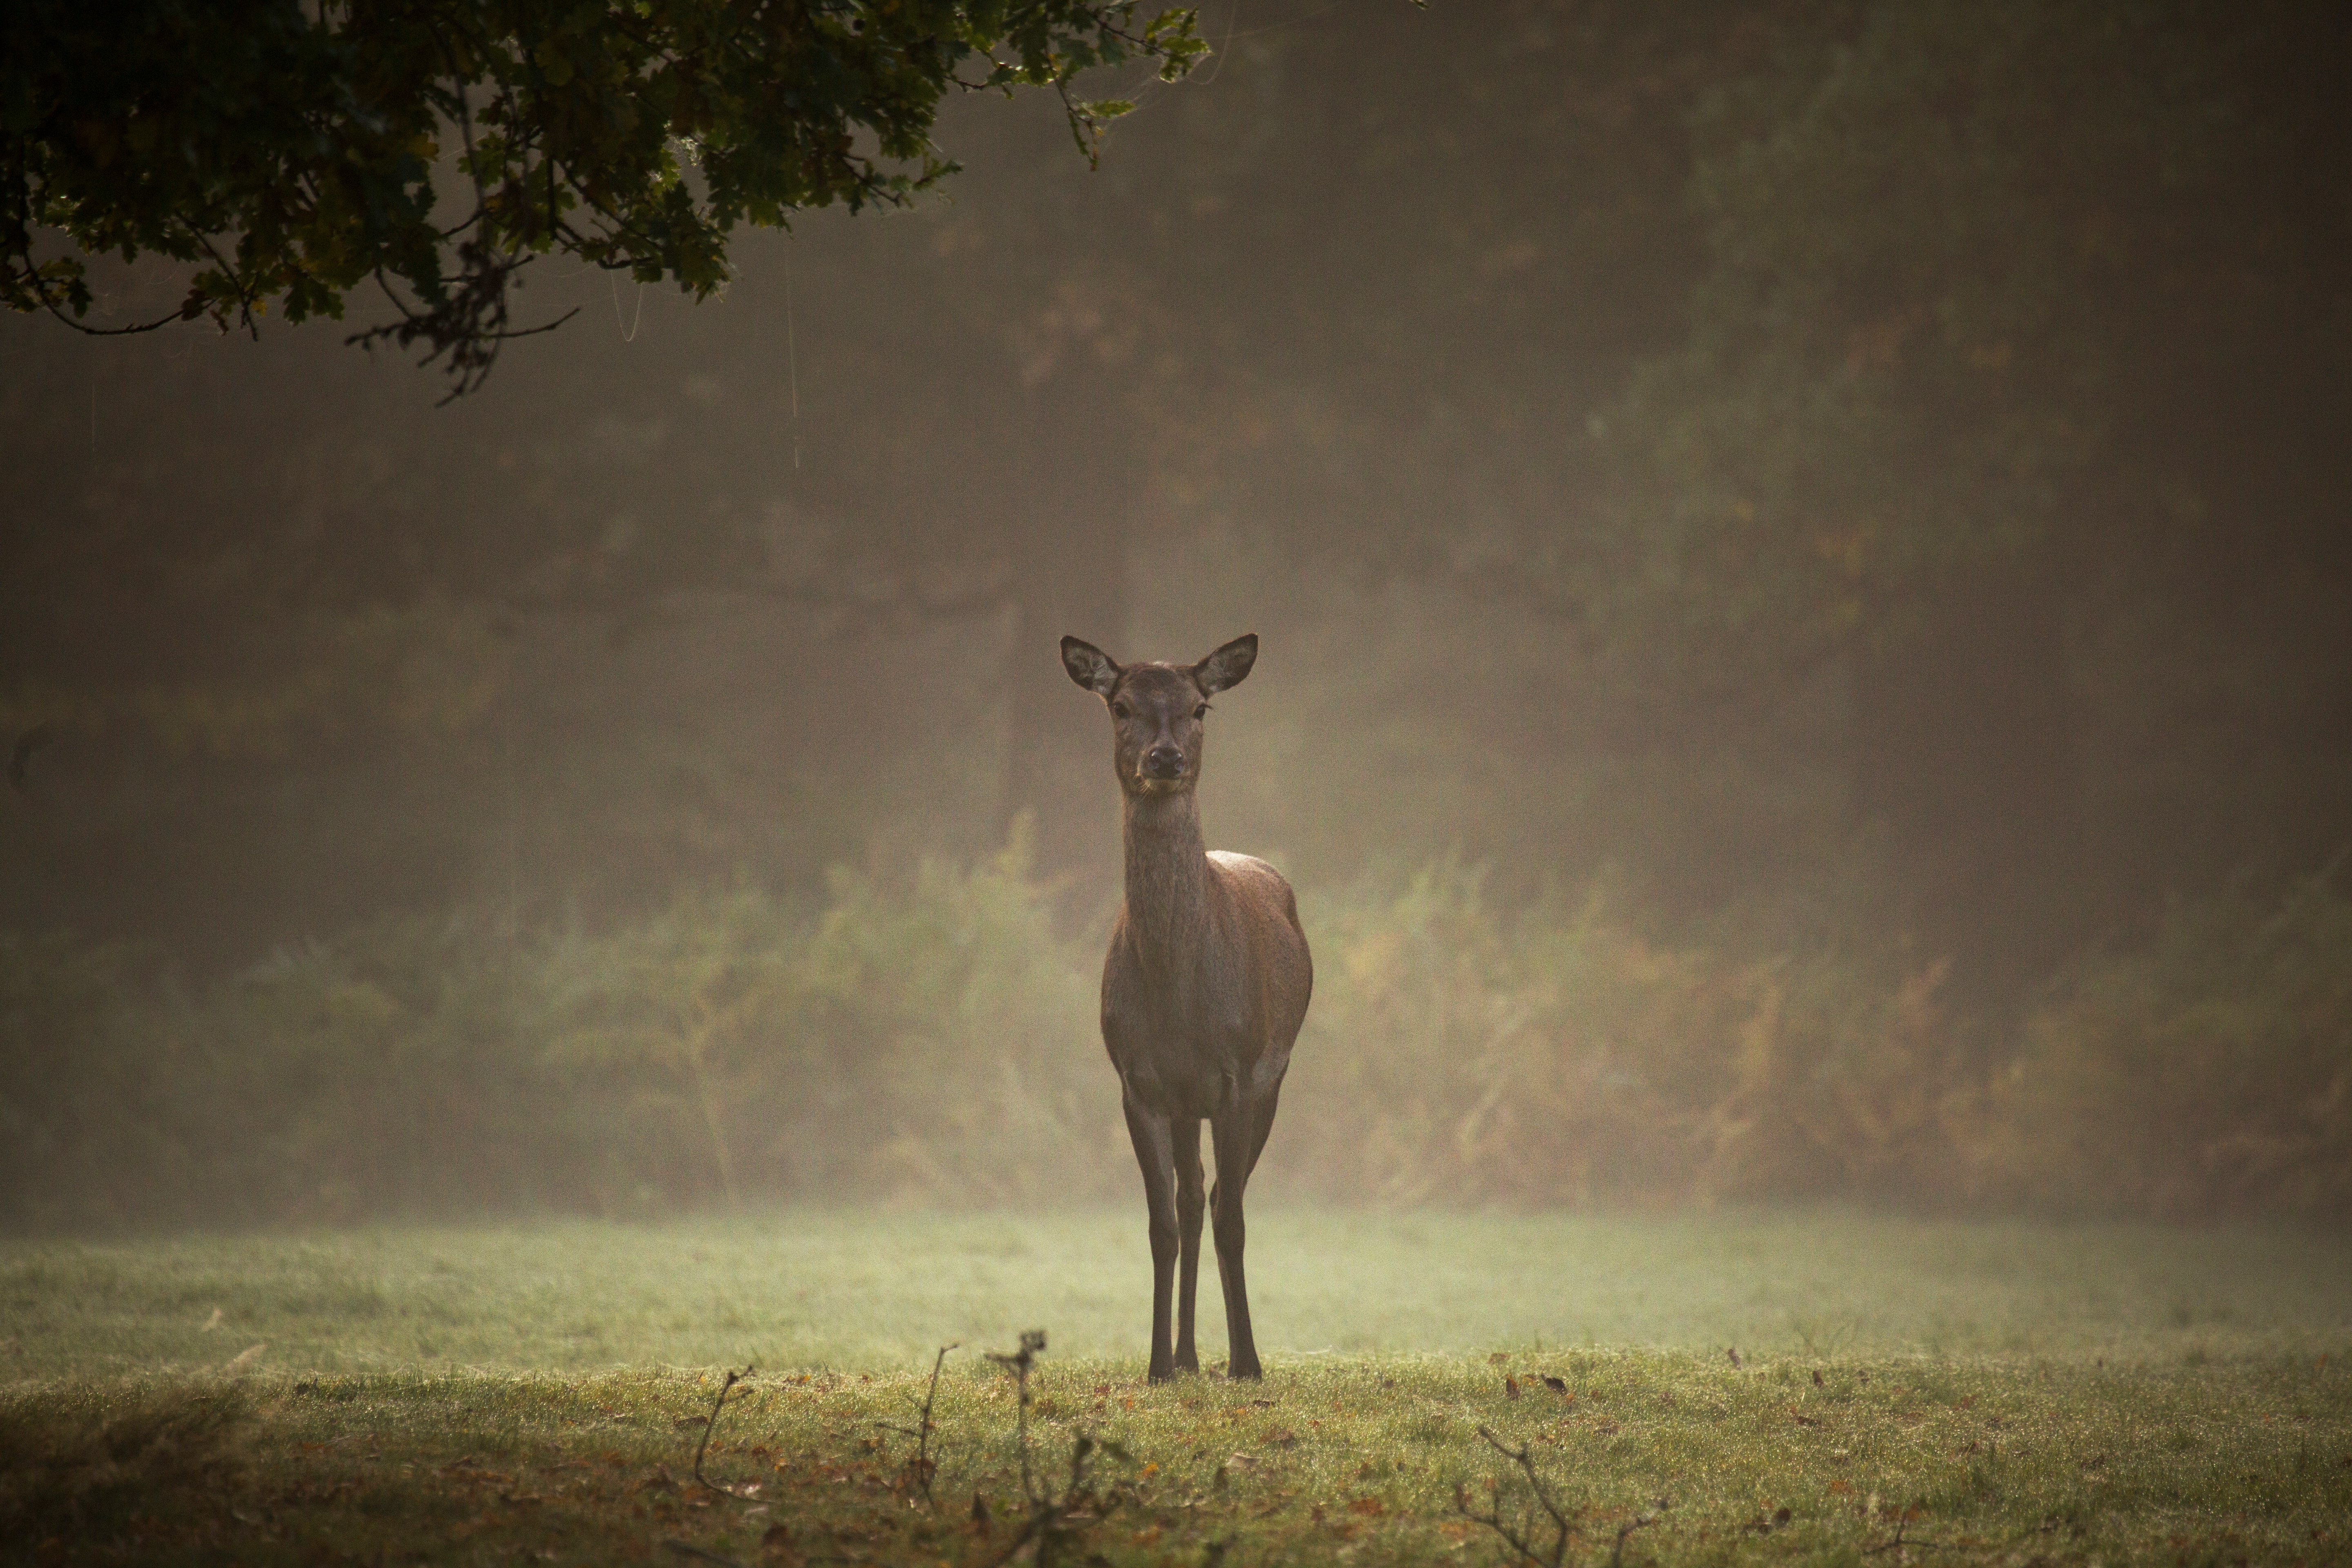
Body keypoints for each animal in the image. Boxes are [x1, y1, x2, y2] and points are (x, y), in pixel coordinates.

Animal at [1063, 630, 1317, 1382]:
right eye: (1120, 706)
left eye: (1200, 707)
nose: (1166, 756)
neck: (1178, 998)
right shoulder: (1139, 1084)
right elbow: (1161, 1225)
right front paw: (1155, 1365)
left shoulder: (1238, 1075)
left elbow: (1232, 1216)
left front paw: (1249, 1363)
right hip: (1186, 1106)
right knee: (1191, 1196)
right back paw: (1186, 1356)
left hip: (1274, 1078)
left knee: (1220, 1197)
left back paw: (1221, 1356)